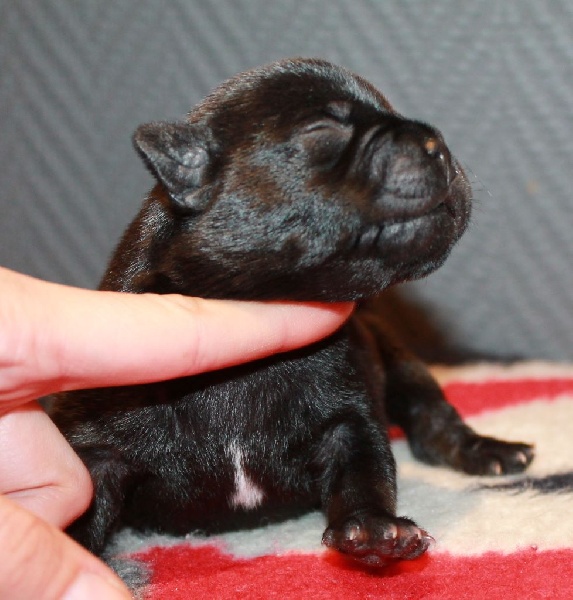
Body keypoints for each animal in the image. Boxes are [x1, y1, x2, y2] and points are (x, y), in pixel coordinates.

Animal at [50, 58, 534, 567]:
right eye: (322, 130)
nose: (437, 144)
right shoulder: (98, 447)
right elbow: (83, 501)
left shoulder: (348, 414)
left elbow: (364, 469)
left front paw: (373, 526)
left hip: (401, 361)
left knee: (432, 417)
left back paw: (488, 451)